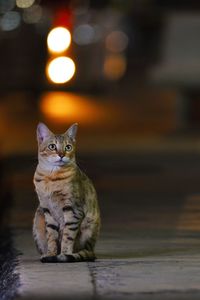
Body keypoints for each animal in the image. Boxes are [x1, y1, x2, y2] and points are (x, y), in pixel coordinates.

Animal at [33, 122, 101, 262]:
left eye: (68, 147)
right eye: (52, 146)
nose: (61, 154)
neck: (51, 177)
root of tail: (92, 250)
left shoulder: (73, 209)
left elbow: (67, 235)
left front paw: (64, 254)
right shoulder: (47, 209)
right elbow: (51, 236)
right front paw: (51, 254)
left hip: (89, 226)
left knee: (85, 252)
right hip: (38, 219)